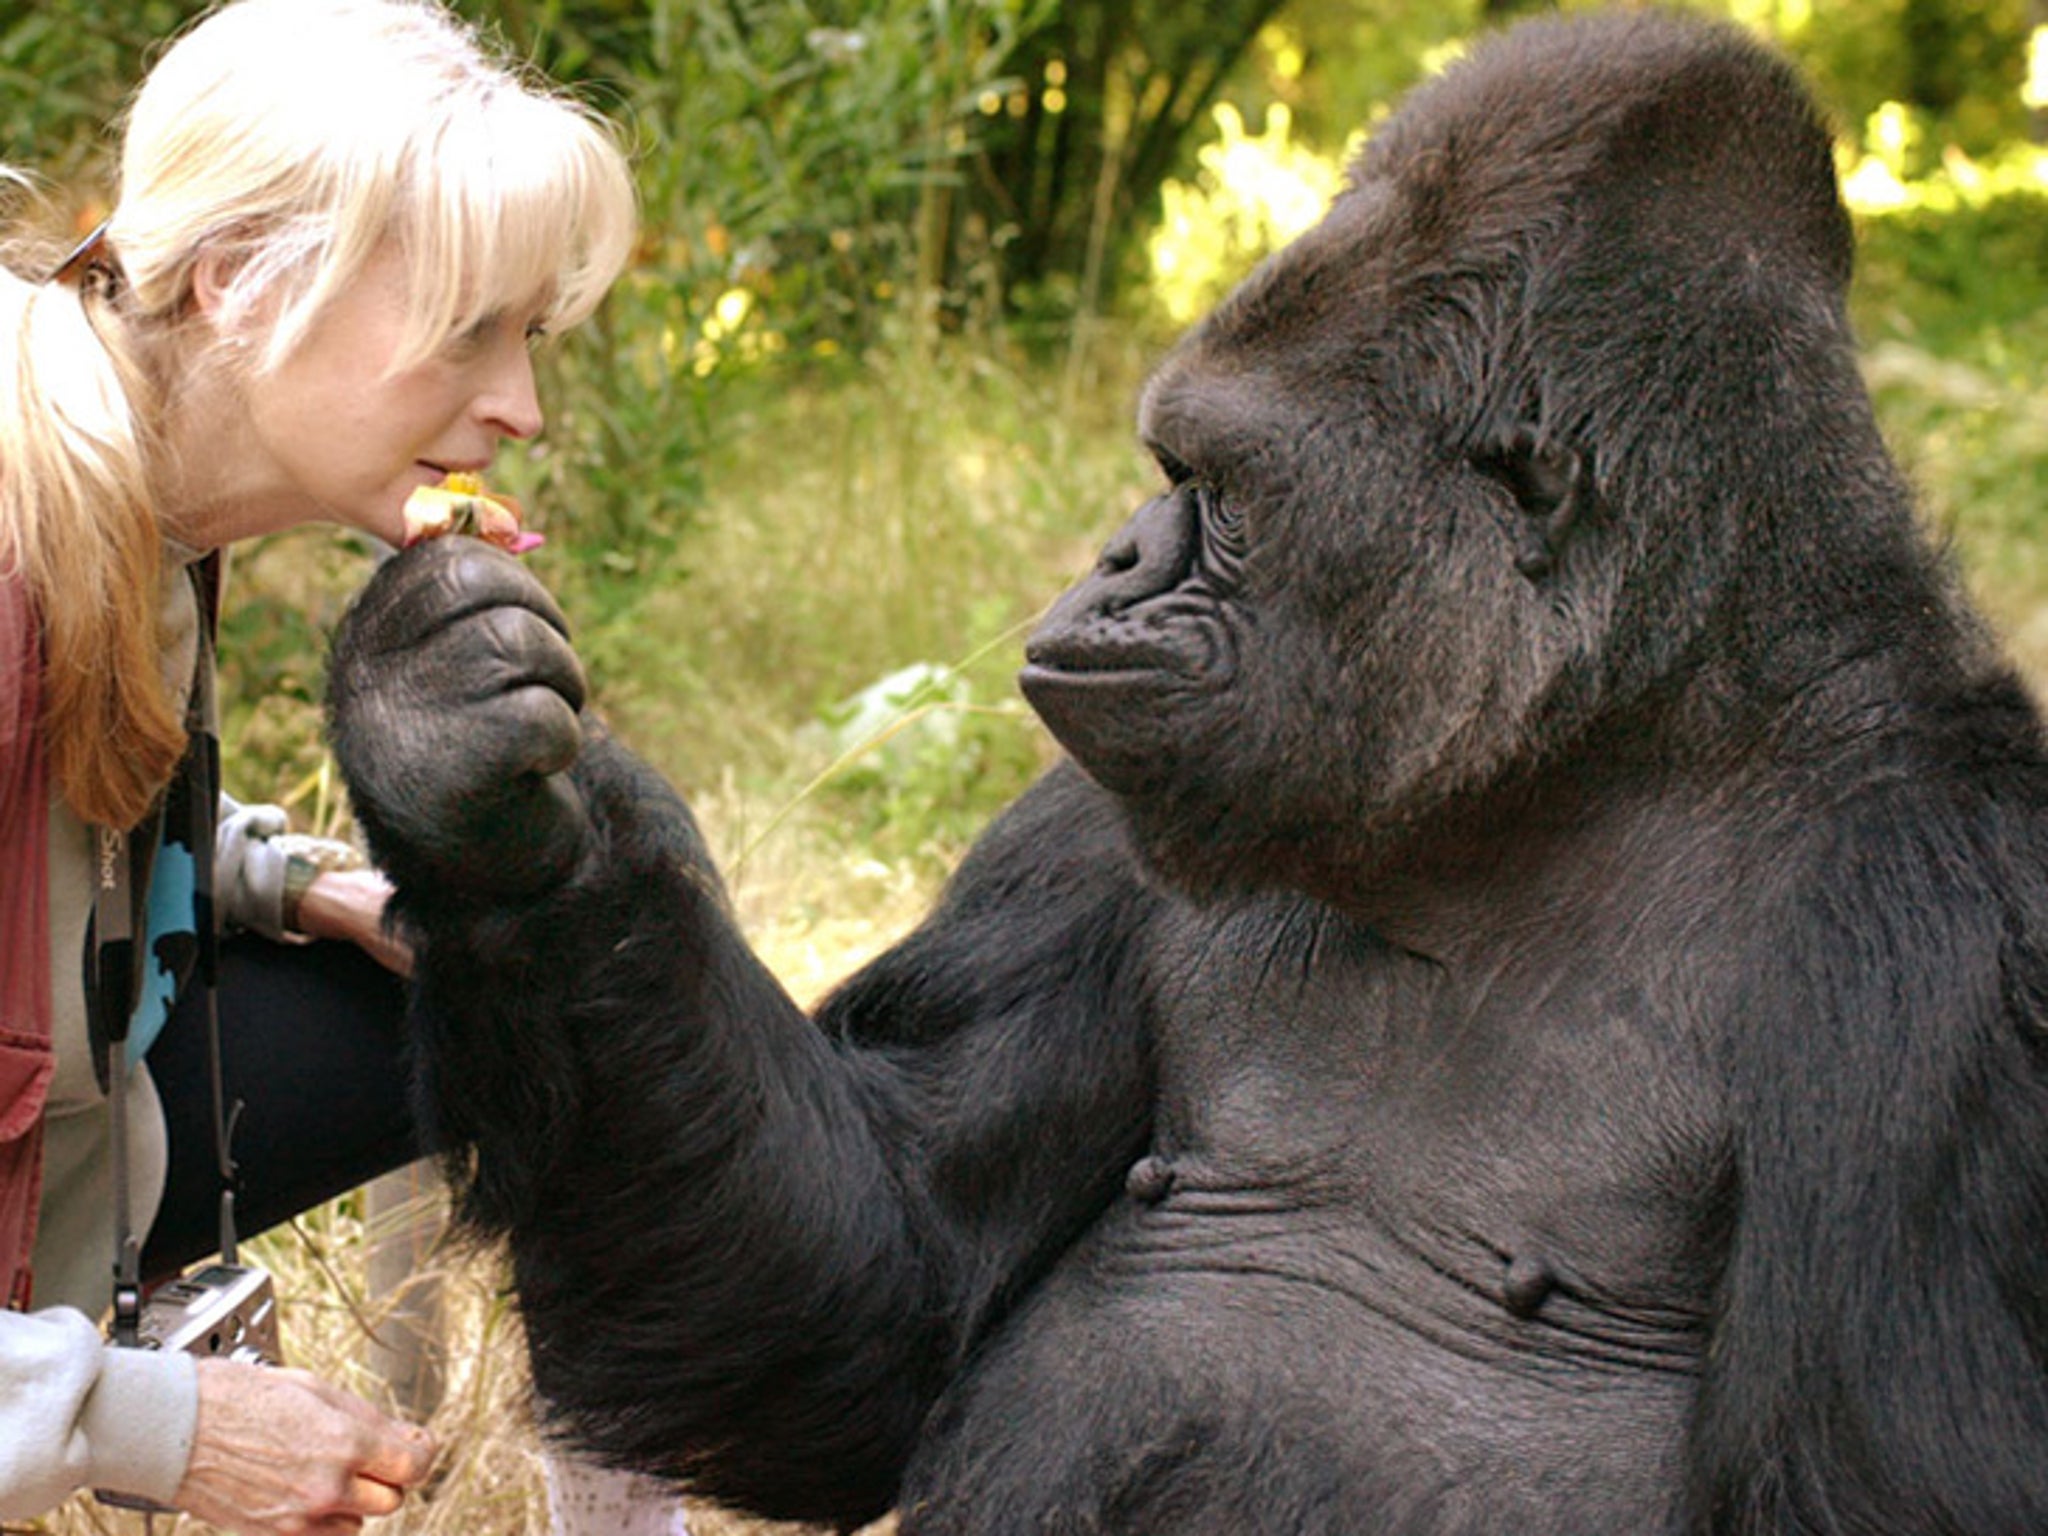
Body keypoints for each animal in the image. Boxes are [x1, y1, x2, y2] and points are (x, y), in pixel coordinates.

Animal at [327, 12, 2048, 1536]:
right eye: (1170, 471)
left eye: (1211, 487)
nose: (1114, 558)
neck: (1587, 761)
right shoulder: (1096, 824)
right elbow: (877, 1289)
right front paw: (486, 803)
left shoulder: (1963, 956)